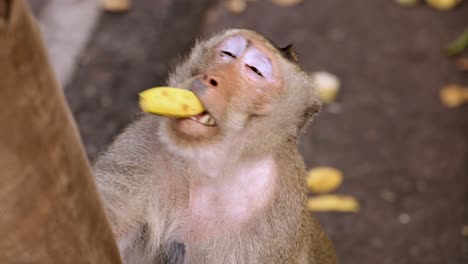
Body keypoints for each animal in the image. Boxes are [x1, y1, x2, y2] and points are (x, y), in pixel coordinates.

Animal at [94, 29, 336, 264]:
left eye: (255, 71)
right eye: (227, 54)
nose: (211, 78)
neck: (213, 165)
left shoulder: (273, 222)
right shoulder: (141, 149)